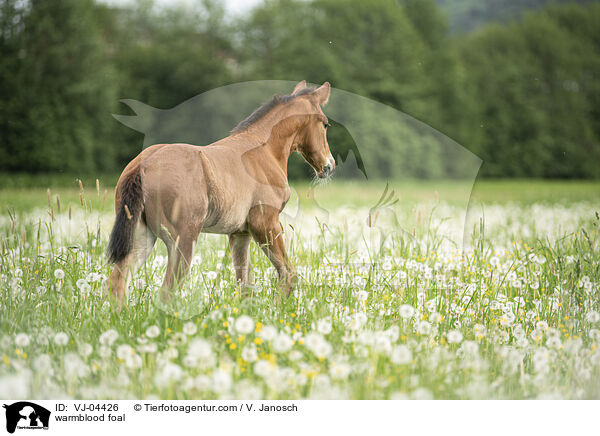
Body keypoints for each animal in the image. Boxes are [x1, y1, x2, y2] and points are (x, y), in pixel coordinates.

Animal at [106, 82, 336, 306]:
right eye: (325, 124)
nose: (329, 165)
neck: (263, 150)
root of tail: (142, 165)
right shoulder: (266, 223)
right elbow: (288, 273)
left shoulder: (240, 234)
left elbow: (246, 284)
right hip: (182, 240)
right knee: (167, 291)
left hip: (141, 236)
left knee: (117, 281)